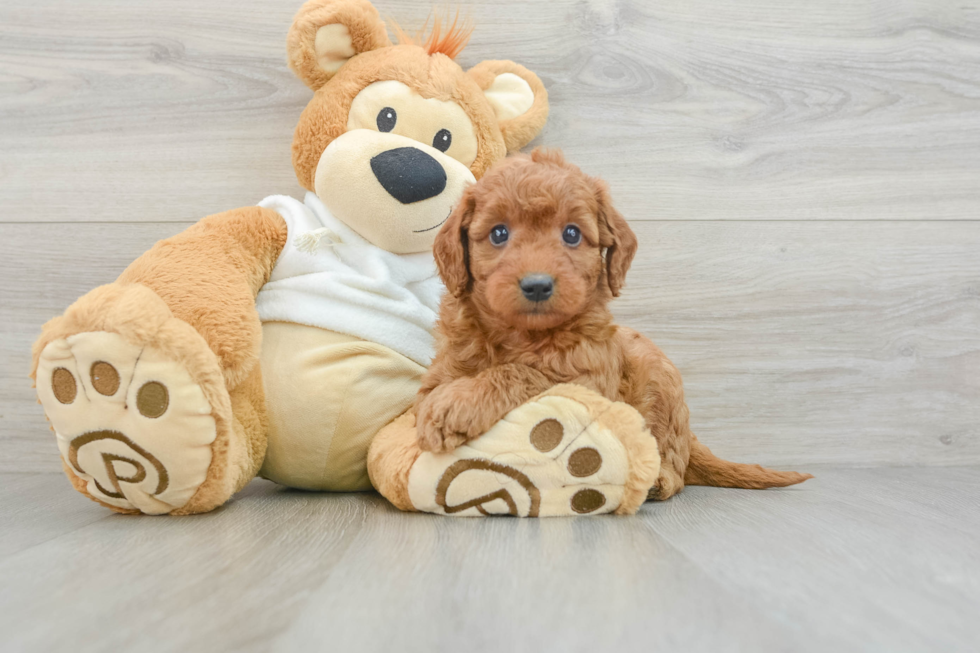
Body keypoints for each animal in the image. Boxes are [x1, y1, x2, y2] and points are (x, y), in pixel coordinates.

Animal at [418, 149, 808, 500]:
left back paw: (658, 480)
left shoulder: (587, 381)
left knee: (676, 464)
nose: (538, 285)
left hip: (660, 384)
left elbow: (523, 372)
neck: (521, 334)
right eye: (499, 234)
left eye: (572, 234)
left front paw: (457, 405)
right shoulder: (441, 372)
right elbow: (442, 390)